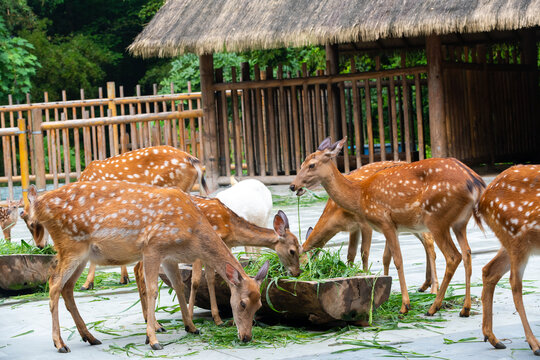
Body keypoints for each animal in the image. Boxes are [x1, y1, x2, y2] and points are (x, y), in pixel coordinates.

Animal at [21, 183, 270, 352]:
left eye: (259, 305)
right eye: (242, 303)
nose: (246, 337)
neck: (192, 232)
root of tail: (38, 206)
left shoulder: (170, 256)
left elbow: (178, 287)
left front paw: (191, 327)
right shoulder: (152, 247)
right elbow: (153, 290)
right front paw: (153, 339)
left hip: (82, 255)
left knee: (67, 288)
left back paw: (90, 337)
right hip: (71, 245)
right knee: (54, 284)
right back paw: (60, 343)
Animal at [304, 162, 438, 294]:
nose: (302, 274)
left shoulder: (365, 223)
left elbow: (364, 251)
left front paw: (365, 275)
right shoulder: (354, 227)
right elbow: (350, 253)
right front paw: (349, 273)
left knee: (429, 242)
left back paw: (433, 288)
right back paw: (424, 285)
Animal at [478, 165, 536, 356]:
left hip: (512, 241)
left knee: (489, 270)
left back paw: (493, 339)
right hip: (516, 236)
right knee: (515, 283)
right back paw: (534, 344)